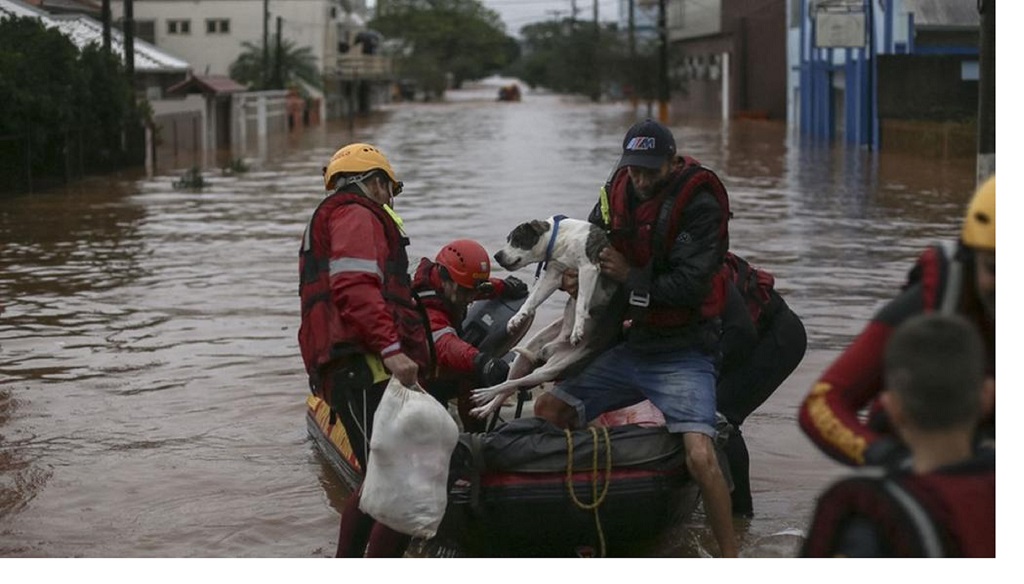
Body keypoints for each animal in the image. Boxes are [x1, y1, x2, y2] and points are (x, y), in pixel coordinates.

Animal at [468, 215, 618, 418]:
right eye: (508, 239)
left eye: (517, 240)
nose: (497, 255)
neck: (560, 239)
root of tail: (551, 348)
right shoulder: (554, 275)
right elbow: (532, 299)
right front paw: (517, 318)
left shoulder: (588, 268)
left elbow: (581, 302)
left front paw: (577, 330)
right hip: (524, 359)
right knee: (508, 386)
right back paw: (485, 406)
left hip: (551, 369)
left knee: (512, 384)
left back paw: (485, 394)